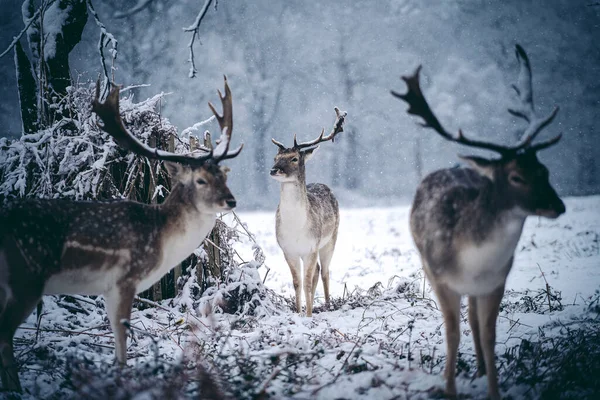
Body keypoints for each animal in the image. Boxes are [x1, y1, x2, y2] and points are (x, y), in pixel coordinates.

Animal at [1, 76, 244, 392]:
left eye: (224, 176)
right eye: (201, 180)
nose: (231, 201)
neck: (162, 242)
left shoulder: (106, 288)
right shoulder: (125, 278)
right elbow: (122, 340)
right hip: (26, 275)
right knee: (4, 333)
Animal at [268, 108, 346, 318]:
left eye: (294, 158)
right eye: (275, 158)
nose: (274, 170)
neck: (296, 228)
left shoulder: (310, 247)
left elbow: (308, 283)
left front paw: (309, 315)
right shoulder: (288, 250)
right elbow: (297, 283)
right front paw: (298, 313)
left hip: (331, 239)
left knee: (325, 271)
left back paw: (327, 305)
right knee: (319, 271)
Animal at [392, 44, 564, 400]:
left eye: (545, 170)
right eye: (515, 176)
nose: (558, 206)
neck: (475, 262)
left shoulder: (497, 280)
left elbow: (488, 335)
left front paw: (493, 389)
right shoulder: (440, 278)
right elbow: (451, 333)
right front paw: (449, 388)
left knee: (472, 318)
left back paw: (482, 369)